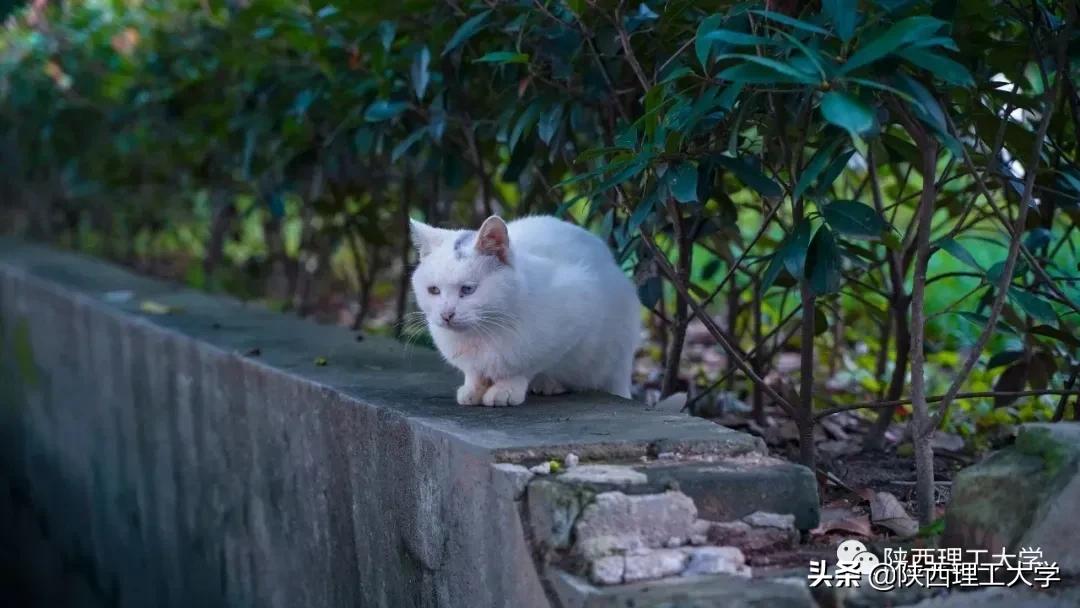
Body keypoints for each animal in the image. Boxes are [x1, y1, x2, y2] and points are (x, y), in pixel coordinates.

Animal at [408, 215, 635, 406]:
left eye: (468, 289)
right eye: (434, 290)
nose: (446, 315)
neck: (483, 332)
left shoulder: (579, 308)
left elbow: (524, 366)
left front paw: (506, 390)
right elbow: (474, 373)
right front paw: (472, 390)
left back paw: (549, 384)